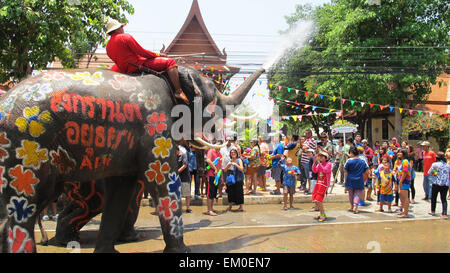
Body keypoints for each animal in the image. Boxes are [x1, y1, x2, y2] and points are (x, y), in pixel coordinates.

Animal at [0, 65, 264, 252]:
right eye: (213, 97)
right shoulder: (155, 128)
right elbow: (161, 181)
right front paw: (182, 251)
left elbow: (122, 187)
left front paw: (108, 252)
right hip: (26, 146)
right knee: (26, 207)